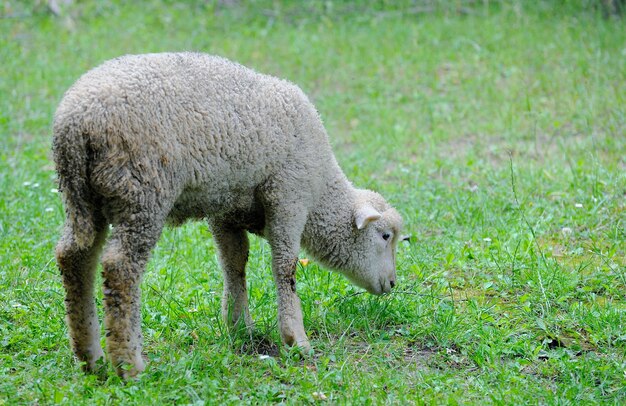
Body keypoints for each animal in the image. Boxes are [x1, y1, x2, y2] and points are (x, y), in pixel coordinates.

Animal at [53, 52, 404, 380]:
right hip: (141, 191)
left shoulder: (225, 209)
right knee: (120, 269)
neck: (321, 189)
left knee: (74, 257)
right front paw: (296, 339)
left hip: (83, 198)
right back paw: (129, 365)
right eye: (385, 236)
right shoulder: (288, 194)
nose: (391, 283)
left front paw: (239, 328)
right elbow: (285, 267)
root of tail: (74, 125)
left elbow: (234, 263)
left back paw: (91, 358)